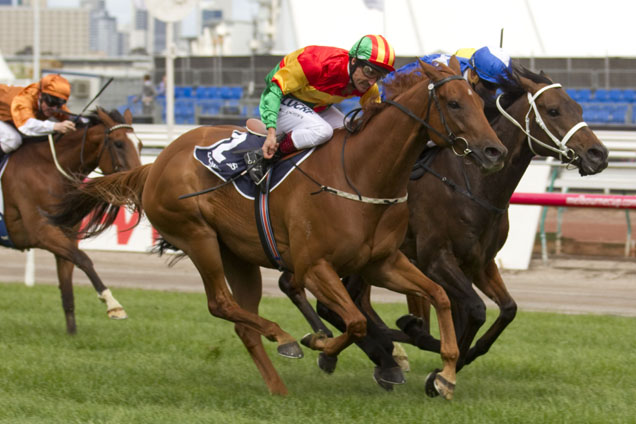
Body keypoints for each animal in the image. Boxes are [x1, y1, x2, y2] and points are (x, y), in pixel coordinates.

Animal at [1, 108, 142, 334]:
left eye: (140, 144)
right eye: (119, 143)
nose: (138, 182)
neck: (49, 168)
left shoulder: (66, 234)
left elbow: (67, 286)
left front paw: (72, 333)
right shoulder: (43, 233)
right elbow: (84, 259)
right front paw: (114, 306)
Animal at [49, 58, 506, 400]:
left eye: (482, 102)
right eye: (454, 103)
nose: (494, 151)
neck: (361, 174)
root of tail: (156, 163)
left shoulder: (383, 262)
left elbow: (438, 297)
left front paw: (445, 375)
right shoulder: (314, 266)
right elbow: (356, 321)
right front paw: (321, 344)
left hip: (237, 254)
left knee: (242, 322)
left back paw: (278, 385)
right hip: (198, 238)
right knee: (221, 304)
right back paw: (284, 336)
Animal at [280, 63, 608, 388]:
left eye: (578, 107)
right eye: (553, 110)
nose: (599, 154)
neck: (472, 186)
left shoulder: (480, 262)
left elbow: (507, 309)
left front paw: (459, 356)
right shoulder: (435, 259)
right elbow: (474, 309)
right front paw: (443, 367)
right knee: (330, 301)